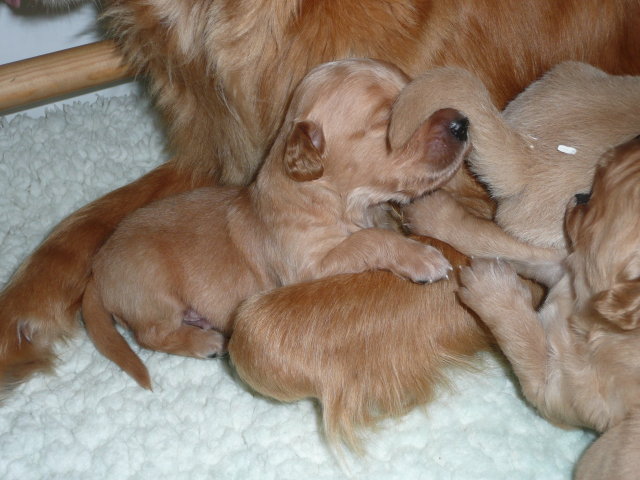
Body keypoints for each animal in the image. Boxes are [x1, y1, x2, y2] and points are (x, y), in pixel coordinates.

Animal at [81, 58, 469, 389]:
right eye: (390, 119)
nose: (463, 121)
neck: (347, 205)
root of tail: (95, 271)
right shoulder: (307, 268)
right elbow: (369, 240)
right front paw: (421, 256)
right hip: (154, 287)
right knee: (151, 335)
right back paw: (205, 340)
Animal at [457, 137, 640, 480]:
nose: (632, 139)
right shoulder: (566, 270)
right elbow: (503, 243)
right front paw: (430, 211)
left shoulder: (563, 392)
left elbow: (525, 337)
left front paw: (492, 287)